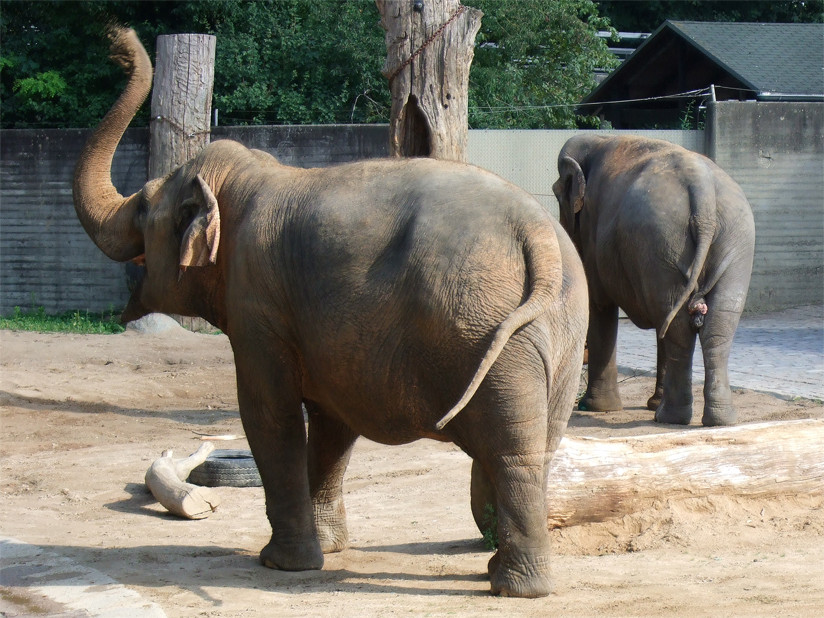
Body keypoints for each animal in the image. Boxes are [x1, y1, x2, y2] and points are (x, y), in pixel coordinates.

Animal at [71, 26, 584, 596]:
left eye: (142, 208)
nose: (118, 39)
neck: (247, 178)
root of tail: (536, 234)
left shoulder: (257, 304)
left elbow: (268, 414)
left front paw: (280, 564)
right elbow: (332, 425)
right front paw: (329, 548)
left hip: (481, 324)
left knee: (508, 448)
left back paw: (516, 588)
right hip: (556, 333)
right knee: (540, 443)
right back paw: (502, 571)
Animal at [552, 133, 756, 426]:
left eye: (557, 195)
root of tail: (703, 190)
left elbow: (600, 306)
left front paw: (594, 408)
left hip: (666, 240)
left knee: (677, 324)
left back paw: (671, 417)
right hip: (728, 241)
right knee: (714, 323)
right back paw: (717, 419)